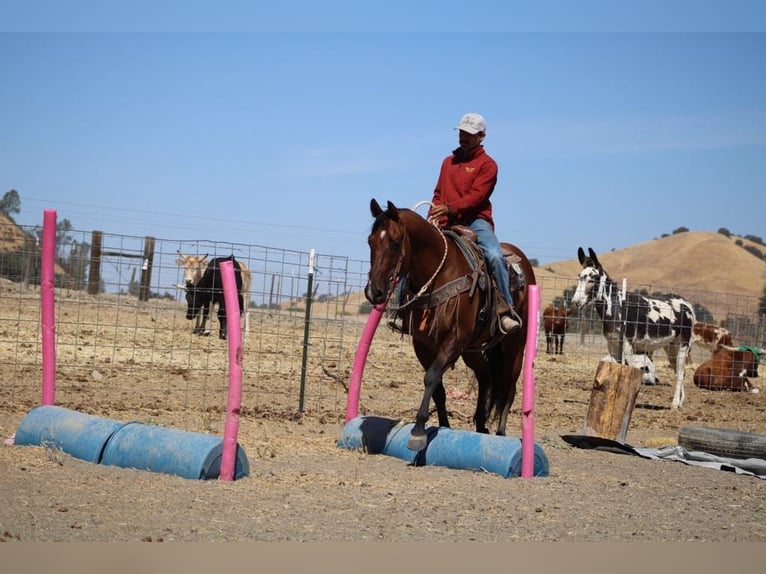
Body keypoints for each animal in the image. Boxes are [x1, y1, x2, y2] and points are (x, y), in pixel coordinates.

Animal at [364, 199, 536, 452]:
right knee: (485, 375)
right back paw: (481, 424)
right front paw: (443, 427)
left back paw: (501, 432)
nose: (373, 292)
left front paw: (418, 431)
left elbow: (431, 377)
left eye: (395, 243)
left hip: (514, 345)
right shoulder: (423, 345)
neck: (440, 273)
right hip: (472, 349)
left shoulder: (454, 339)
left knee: (508, 386)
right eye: (371, 242)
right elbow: (438, 388)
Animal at [571, 246, 696, 409]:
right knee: (678, 371)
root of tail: (687, 304)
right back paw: (680, 402)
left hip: (683, 344)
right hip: (671, 346)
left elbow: (629, 372)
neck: (616, 306)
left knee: (680, 373)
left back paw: (674, 404)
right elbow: (616, 369)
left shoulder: (627, 344)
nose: (575, 302)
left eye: (592, 279)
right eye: (579, 277)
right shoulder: (613, 345)